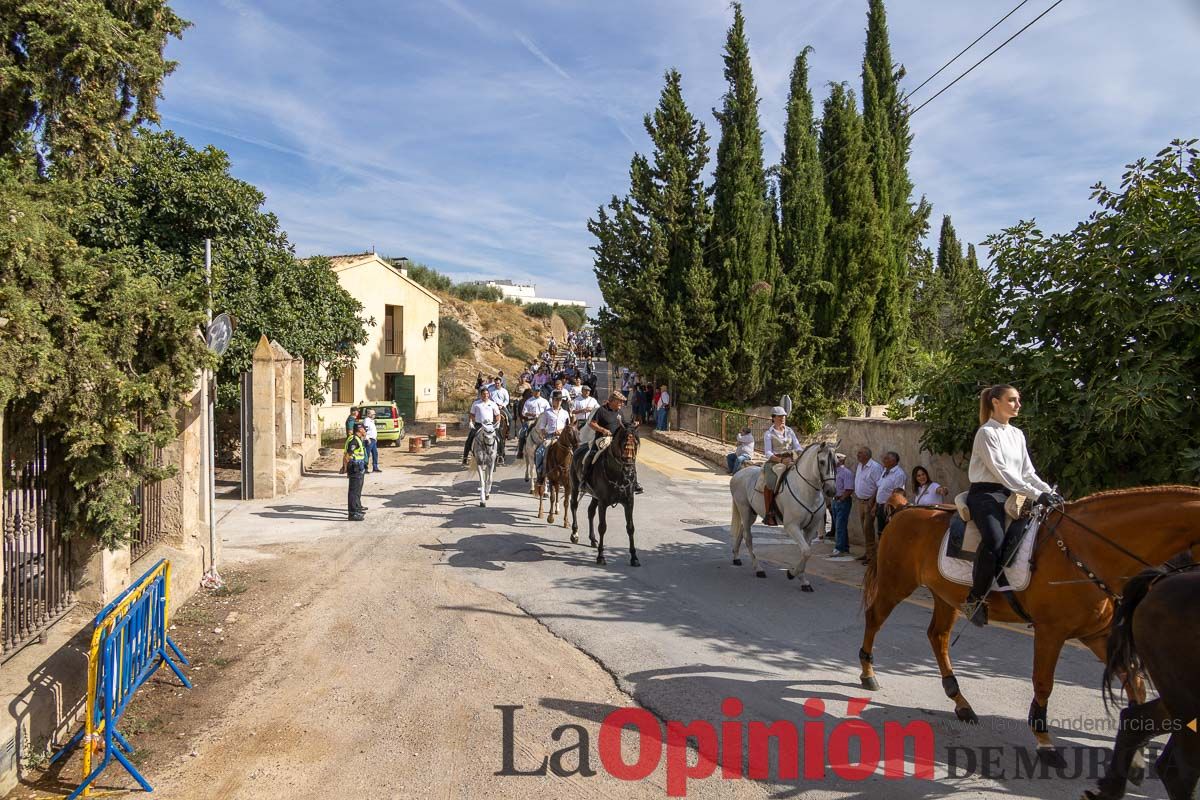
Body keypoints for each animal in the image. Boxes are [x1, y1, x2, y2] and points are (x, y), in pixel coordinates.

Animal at [568, 429, 638, 566]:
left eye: (636, 444)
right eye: (623, 444)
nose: (629, 470)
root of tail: (579, 447)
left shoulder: (629, 502)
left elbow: (630, 527)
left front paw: (634, 557)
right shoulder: (603, 503)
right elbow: (602, 527)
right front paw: (601, 557)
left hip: (595, 496)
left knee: (590, 511)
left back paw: (593, 539)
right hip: (575, 486)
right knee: (574, 505)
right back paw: (574, 534)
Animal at [724, 441, 840, 592]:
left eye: (837, 463)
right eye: (821, 462)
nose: (831, 490)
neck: (806, 491)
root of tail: (738, 474)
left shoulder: (811, 528)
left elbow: (806, 552)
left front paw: (803, 580)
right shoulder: (792, 526)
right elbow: (806, 551)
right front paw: (791, 573)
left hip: (751, 514)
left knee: (742, 530)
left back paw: (736, 557)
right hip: (744, 509)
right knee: (748, 537)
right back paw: (758, 569)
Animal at [859, 484, 1200, 767]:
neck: (1088, 549)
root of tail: (906, 509)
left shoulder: (1097, 635)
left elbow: (1136, 685)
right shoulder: (1051, 632)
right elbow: (1043, 683)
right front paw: (1045, 742)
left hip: (945, 596)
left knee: (937, 636)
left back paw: (961, 702)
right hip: (895, 584)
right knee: (875, 619)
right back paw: (868, 673)